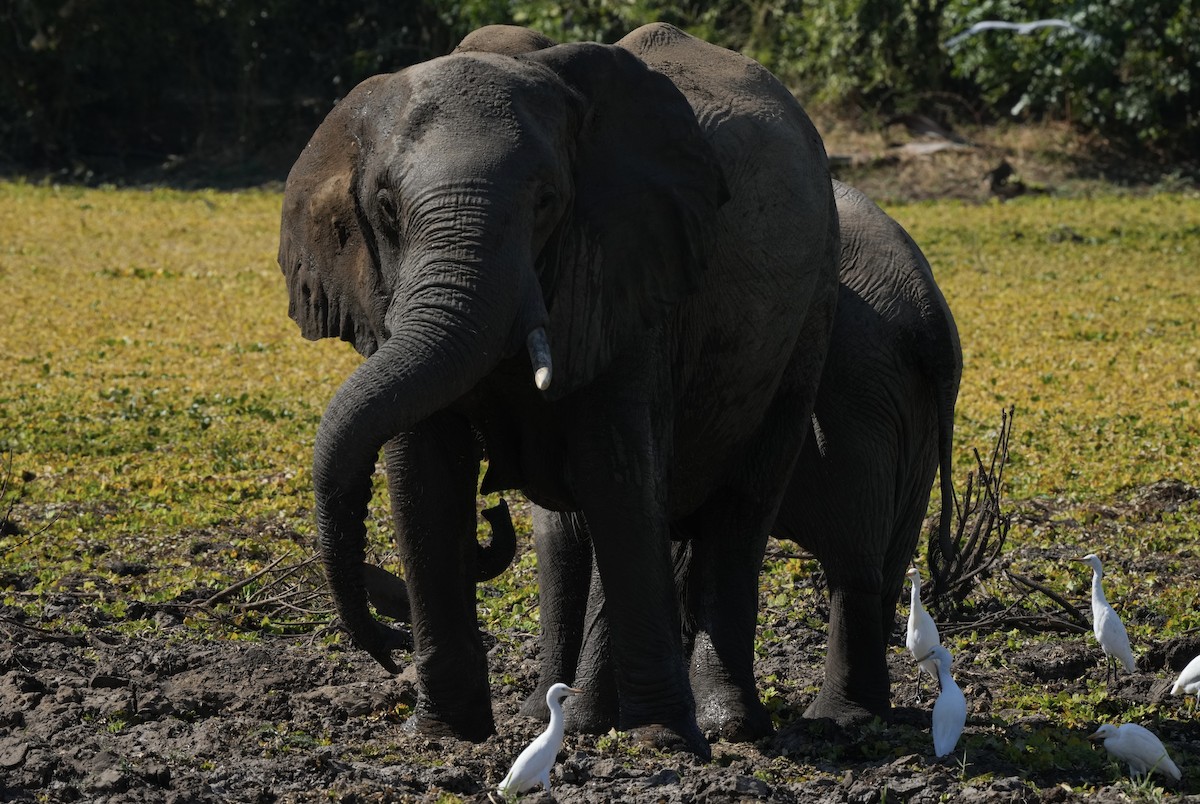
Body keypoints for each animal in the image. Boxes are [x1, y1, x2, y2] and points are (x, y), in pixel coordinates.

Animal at [278, 22, 844, 758]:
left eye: (546, 201)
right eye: (384, 208)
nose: (386, 647)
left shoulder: (631, 276)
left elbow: (617, 472)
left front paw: (663, 741)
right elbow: (425, 474)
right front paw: (443, 739)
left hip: (811, 304)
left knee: (739, 504)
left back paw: (717, 727)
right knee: (579, 527)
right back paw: (567, 719)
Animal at [525, 181, 964, 739]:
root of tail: (928, 311)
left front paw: (572, 720)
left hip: (859, 396)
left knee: (854, 558)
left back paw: (832, 721)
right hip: (905, 409)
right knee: (881, 565)